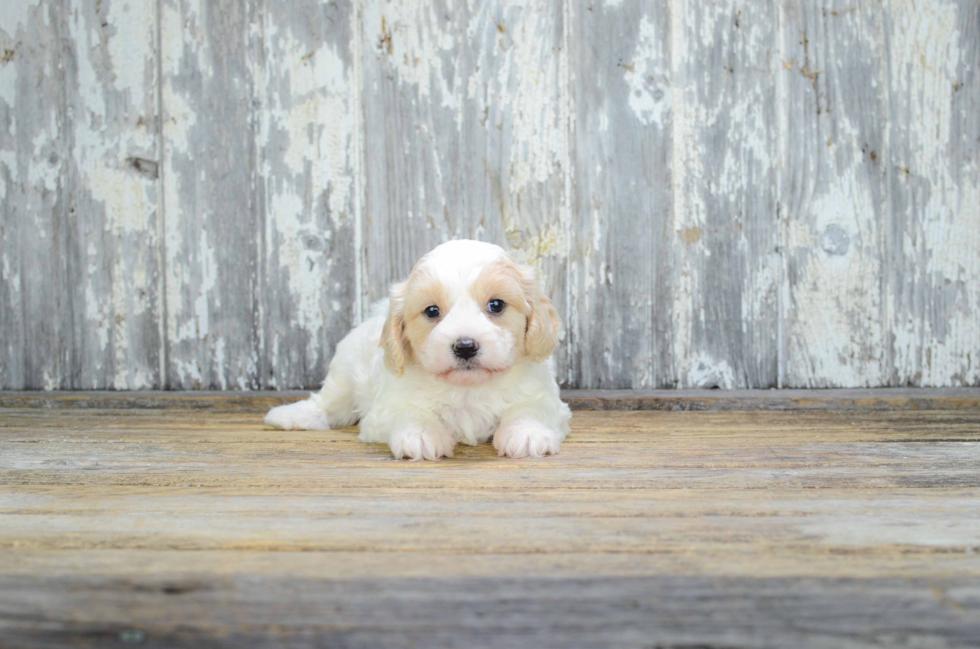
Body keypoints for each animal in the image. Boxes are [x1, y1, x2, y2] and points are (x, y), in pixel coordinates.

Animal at [266, 239, 576, 460]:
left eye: (496, 305)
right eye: (432, 311)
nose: (465, 346)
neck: (468, 389)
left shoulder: (545, 398)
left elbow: (530, 409)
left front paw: (528, 434)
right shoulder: (387, 409)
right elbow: (411, 413)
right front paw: (421, 436)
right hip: (344, 370)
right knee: (329, 404)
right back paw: (290, 417)